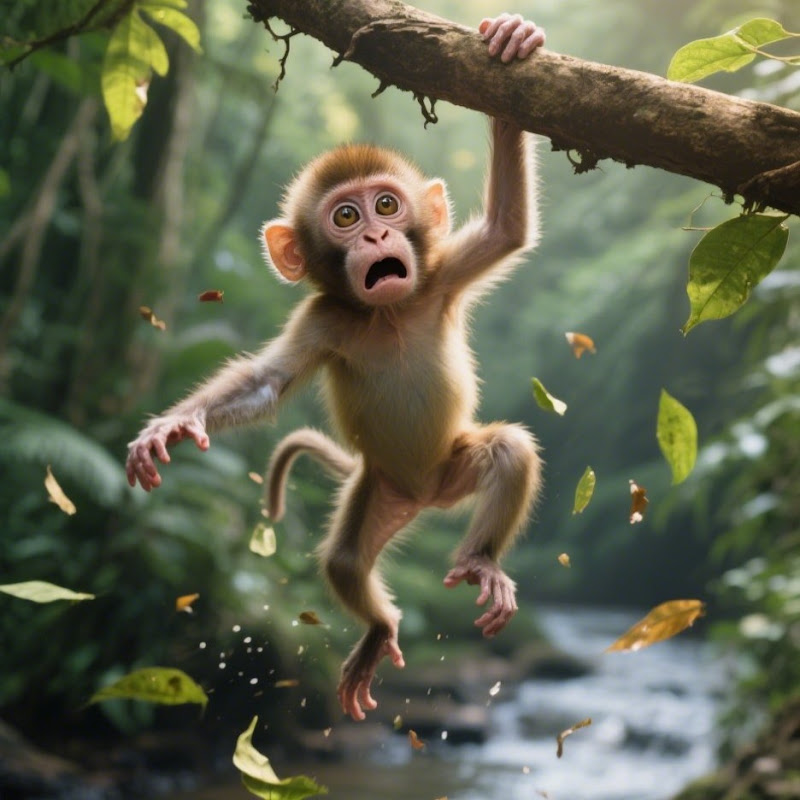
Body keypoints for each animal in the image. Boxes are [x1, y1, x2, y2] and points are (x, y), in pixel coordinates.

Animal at [127, 13, 546, 721]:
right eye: (346, 216)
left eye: (388, 206)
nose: (377, 238)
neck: (388, 313)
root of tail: (426, 495)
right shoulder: (323, 318)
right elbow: (266, 384)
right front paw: (175, 424)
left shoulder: (437, 278)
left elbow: (507, 229)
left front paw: (512, 42)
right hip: (376, 491)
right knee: (345, 562)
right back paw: (378, 627)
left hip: (453, 465)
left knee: (508, 451)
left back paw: (482, 562)